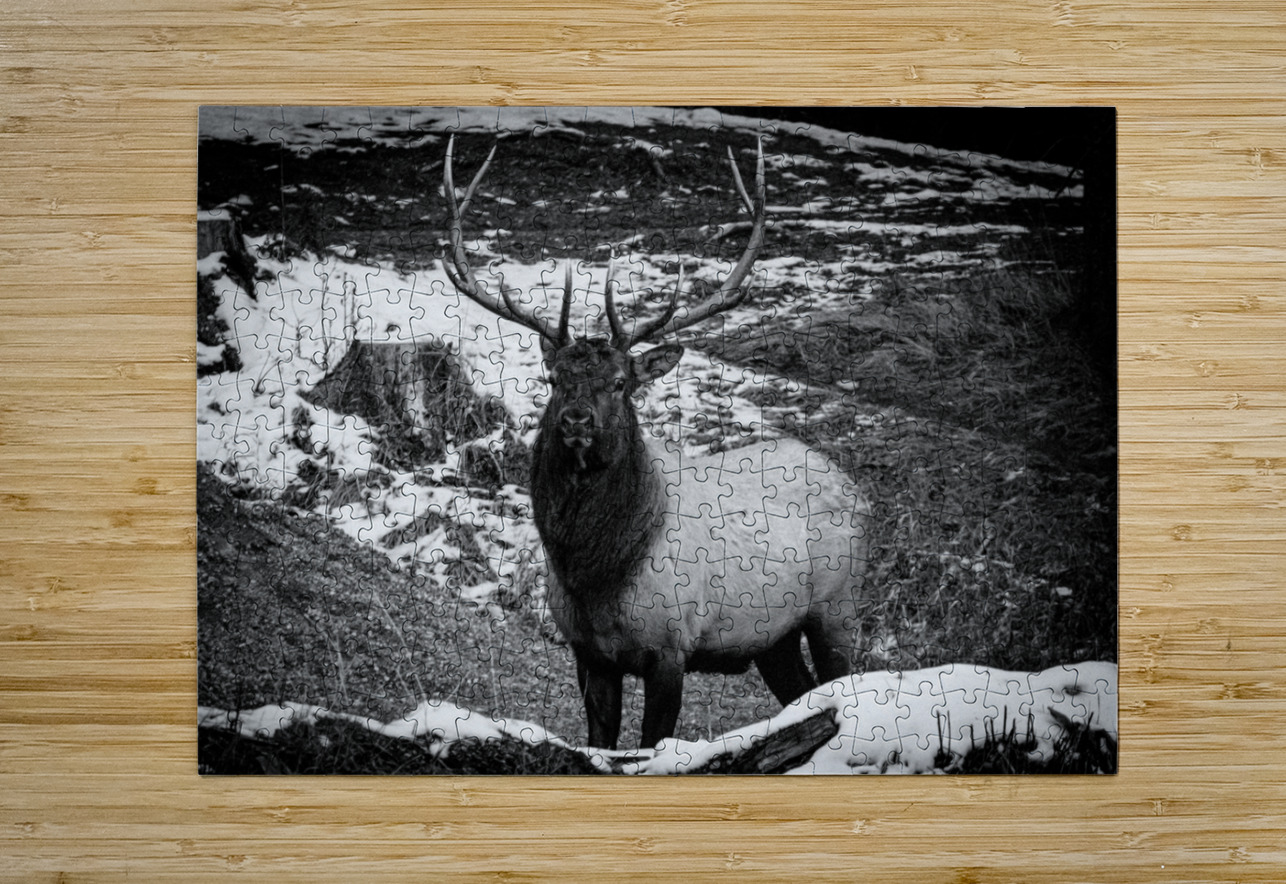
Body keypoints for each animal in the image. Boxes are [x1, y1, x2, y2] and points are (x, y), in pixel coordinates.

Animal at [441, 135, 872, 750]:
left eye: (621, 381)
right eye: (554, 377)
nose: (575, 420)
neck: (596, 578)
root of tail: (853, 484)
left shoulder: (672, 645)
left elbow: (653, 742)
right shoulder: (588, 653)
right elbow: (600, 740)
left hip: (838, 607)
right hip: (773, 636)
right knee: (800, 693)